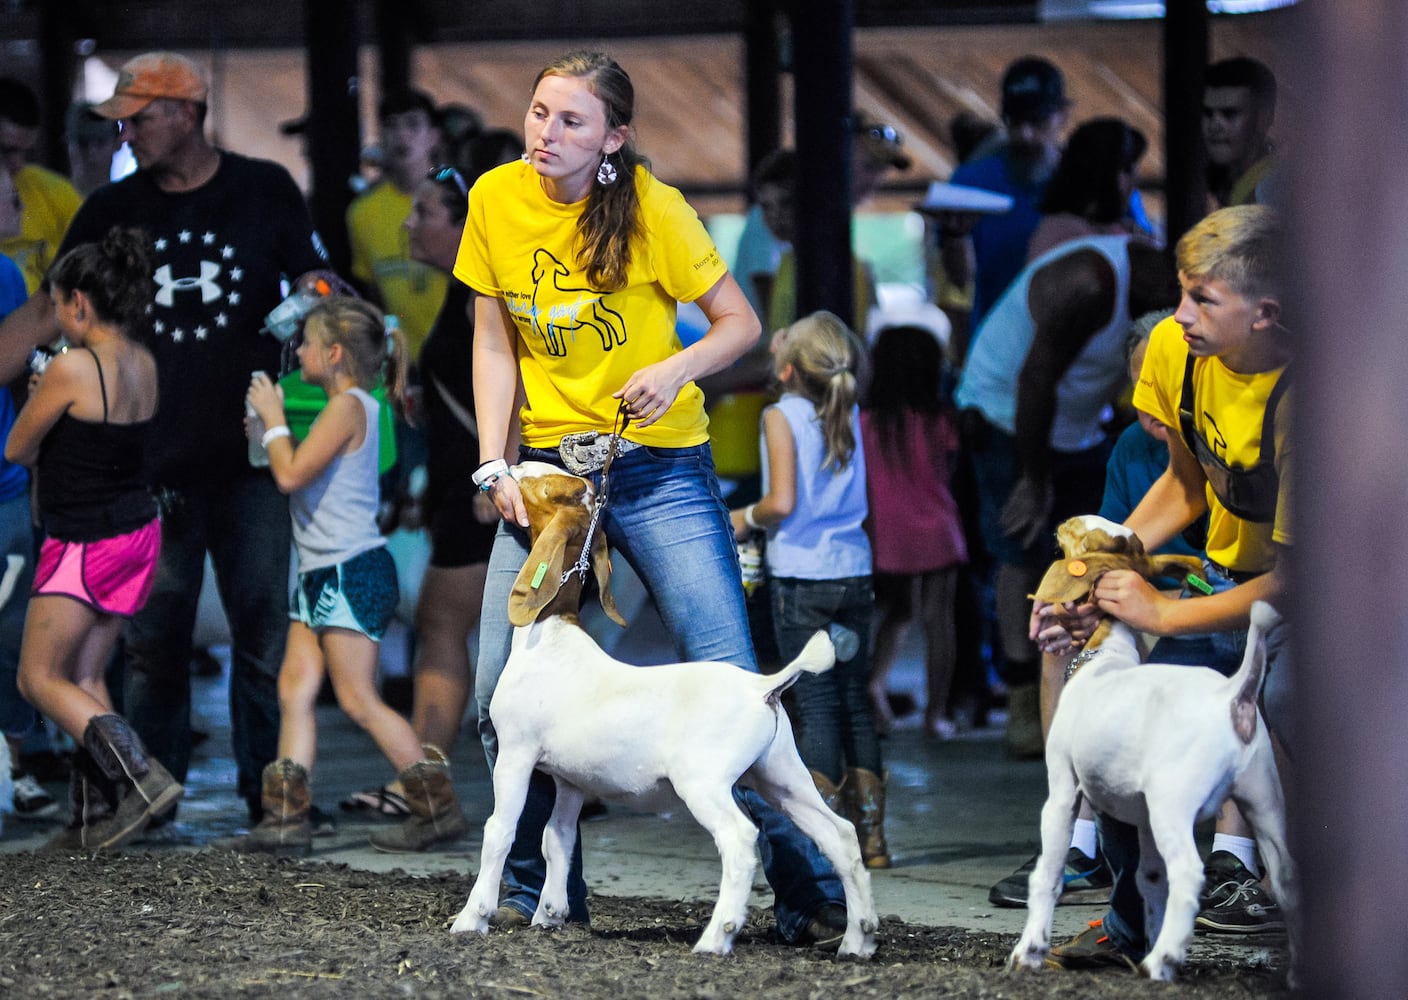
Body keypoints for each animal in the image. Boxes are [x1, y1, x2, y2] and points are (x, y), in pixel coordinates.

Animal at [450, 464, 872, 957]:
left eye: (548, 487)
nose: (514, 468)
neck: (550, 633)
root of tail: (763, 687)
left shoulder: (517, 753)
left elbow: (501, 831)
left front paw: (472, 918)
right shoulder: (571, 779)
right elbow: (557, 839)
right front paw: (549, 915)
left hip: (704, 781)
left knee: (741, 840)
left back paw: (716, 938)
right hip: (781, 774)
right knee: (839, 835)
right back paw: (859, 939)